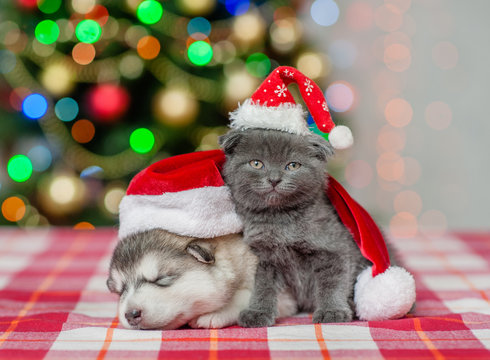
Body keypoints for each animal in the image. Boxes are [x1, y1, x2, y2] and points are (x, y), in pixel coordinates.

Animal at [107, 229, 296, 330]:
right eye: (121, 290)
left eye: (161, 278)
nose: (130, 314)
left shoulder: (284, 295)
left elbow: (244, 296)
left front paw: (214, 313)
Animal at [220, 130, 370, 330]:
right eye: (256, 163)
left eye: (293, 165)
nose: (274, 179)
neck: (280, 222)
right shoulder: (264, 257)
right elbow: (263, 285)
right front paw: (258, 312)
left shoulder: (334, 248)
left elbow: (332, 282)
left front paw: (332, 311)